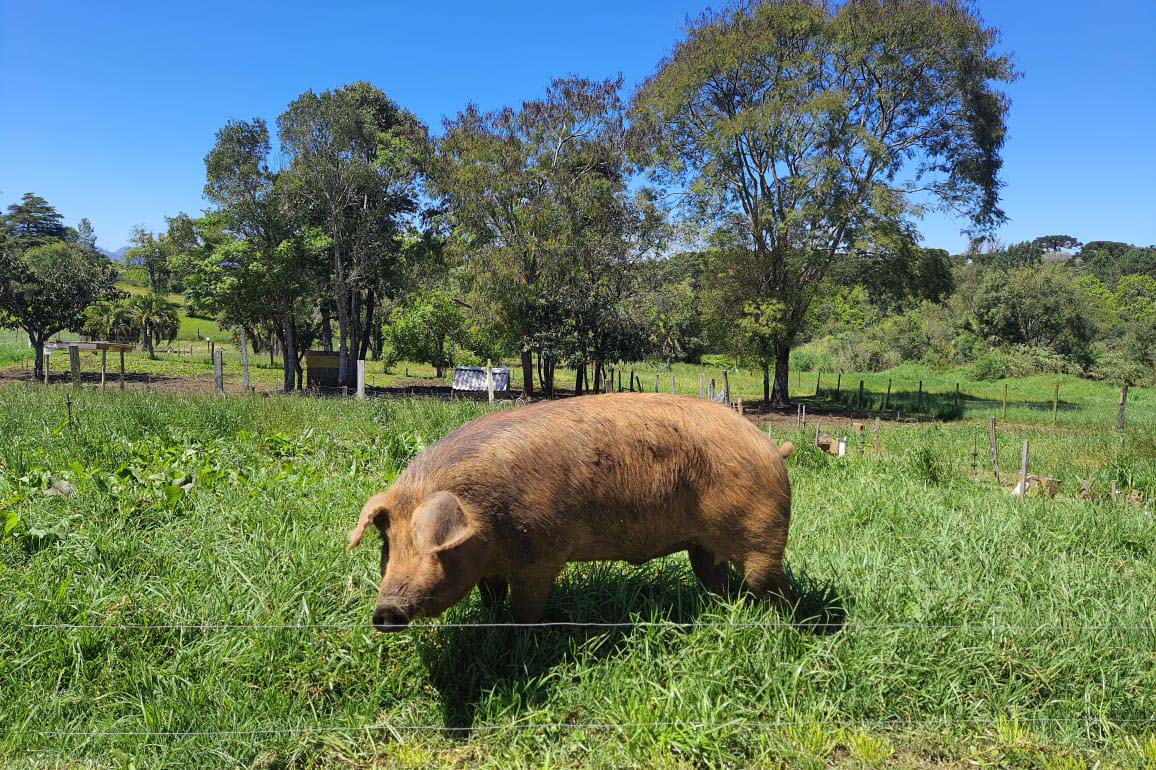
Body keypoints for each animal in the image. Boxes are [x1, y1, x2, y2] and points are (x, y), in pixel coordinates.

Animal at [348, 392, 795, 631]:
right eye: (387, 544)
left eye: (433, 546)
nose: (385, 611)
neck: (487, 520)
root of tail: (773, 447)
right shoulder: (492, 566)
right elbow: (491, 596)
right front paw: (491, 618)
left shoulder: (540, 558)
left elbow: (526, 611)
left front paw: (520, 640)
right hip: (701, 547)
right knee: (717, 580)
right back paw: (722, 611)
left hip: (762, 533)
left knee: (775, 586)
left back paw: (782, 627)